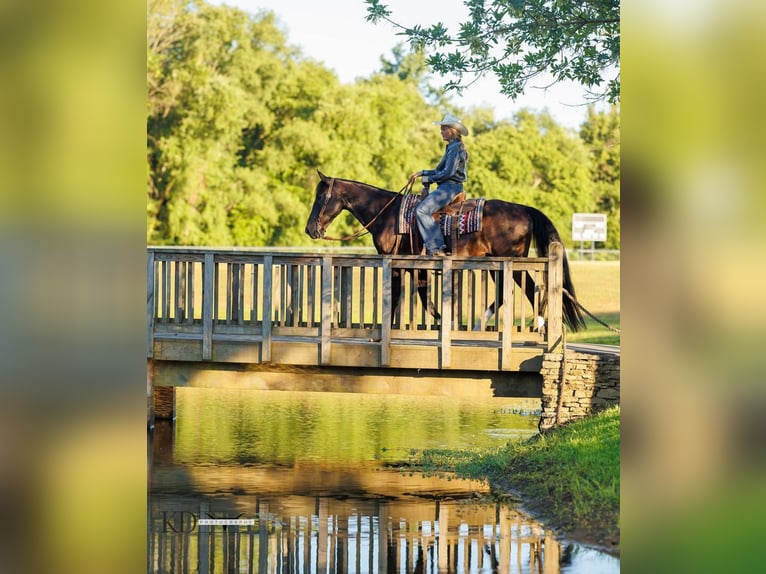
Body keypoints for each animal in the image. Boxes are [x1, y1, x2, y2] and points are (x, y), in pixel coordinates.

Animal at [304, 171, 586, 332]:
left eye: (320, 198)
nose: (310, 229)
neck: (388, 214)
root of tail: (524, 209)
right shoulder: (414, 267)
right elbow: (423, 299)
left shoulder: (396, 264)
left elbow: (399, 298)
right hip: (496, 263)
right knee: (505, 294)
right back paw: (479, 324)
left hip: (513, 262)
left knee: (529, 287)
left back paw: (537, 323)